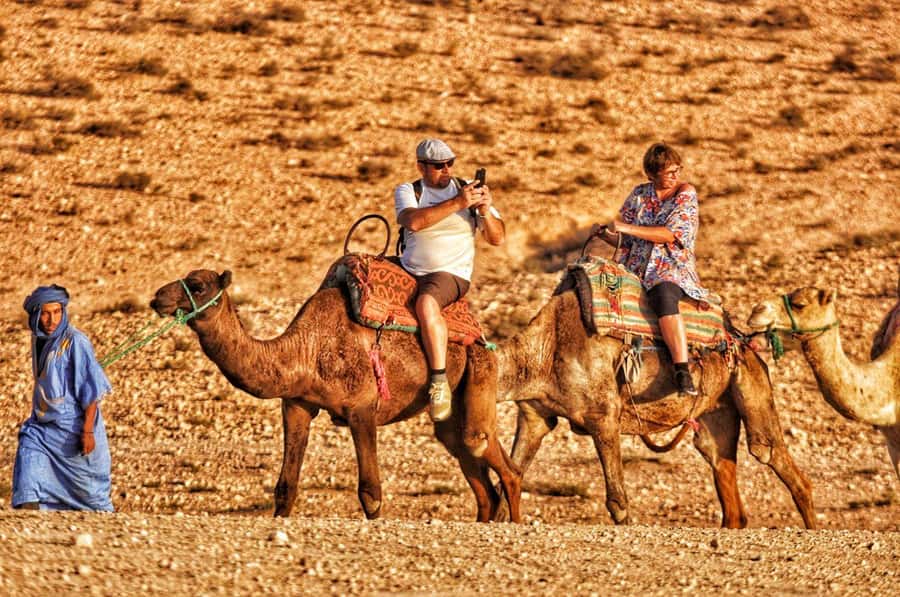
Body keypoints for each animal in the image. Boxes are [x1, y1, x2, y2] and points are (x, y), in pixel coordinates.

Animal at [150, 269, 522, 522]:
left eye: (198, 286)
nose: (157, 298)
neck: (305, 350)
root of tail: (482, 335)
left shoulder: (362, 408)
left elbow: (370, 493)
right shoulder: (296, 404)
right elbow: (285, 488)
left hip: (480, 368)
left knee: (489, 451)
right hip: (453, 405)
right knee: (471, 463)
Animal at [493, 290, 817, 528]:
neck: (544, 351)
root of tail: (740, 341)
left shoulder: (602, 415)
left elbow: (617, 502)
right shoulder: (534, 415)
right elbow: (510, 476)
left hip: (750, 381)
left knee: (770, 452)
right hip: (717, 410)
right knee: (719, 463)